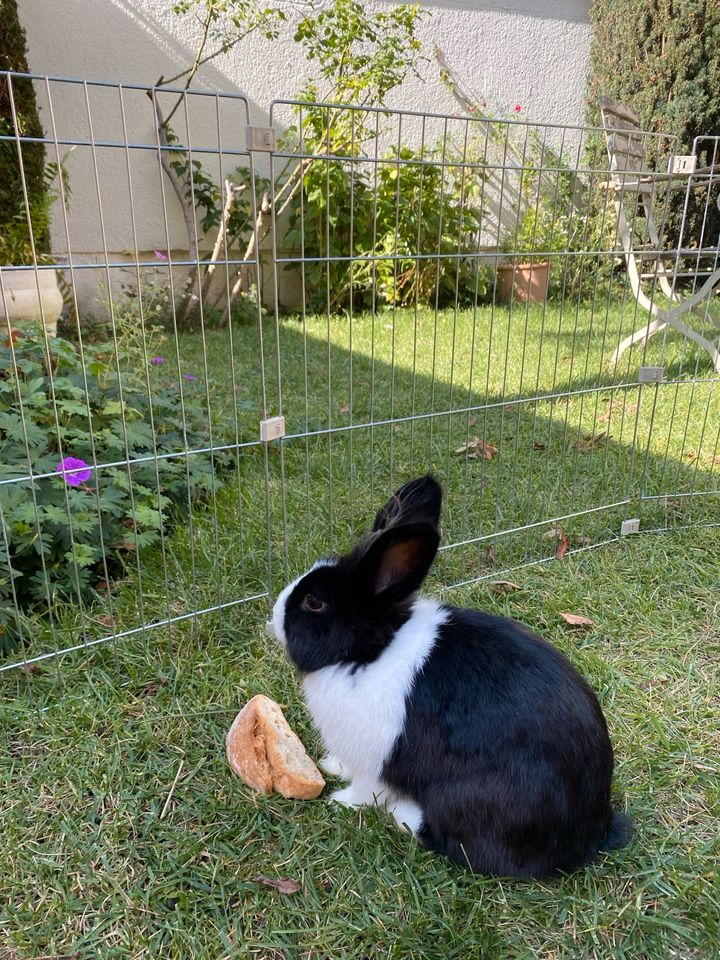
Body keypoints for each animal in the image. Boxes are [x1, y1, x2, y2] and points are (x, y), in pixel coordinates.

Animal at [270, 474, 632, 876]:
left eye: (314, 602)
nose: (273, 615)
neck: (369, 651)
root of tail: (593, 834)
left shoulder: (374, 760)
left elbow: (365, 791)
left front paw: (340, 801)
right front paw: (330, 766)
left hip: (461, 797)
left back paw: (405, 817)